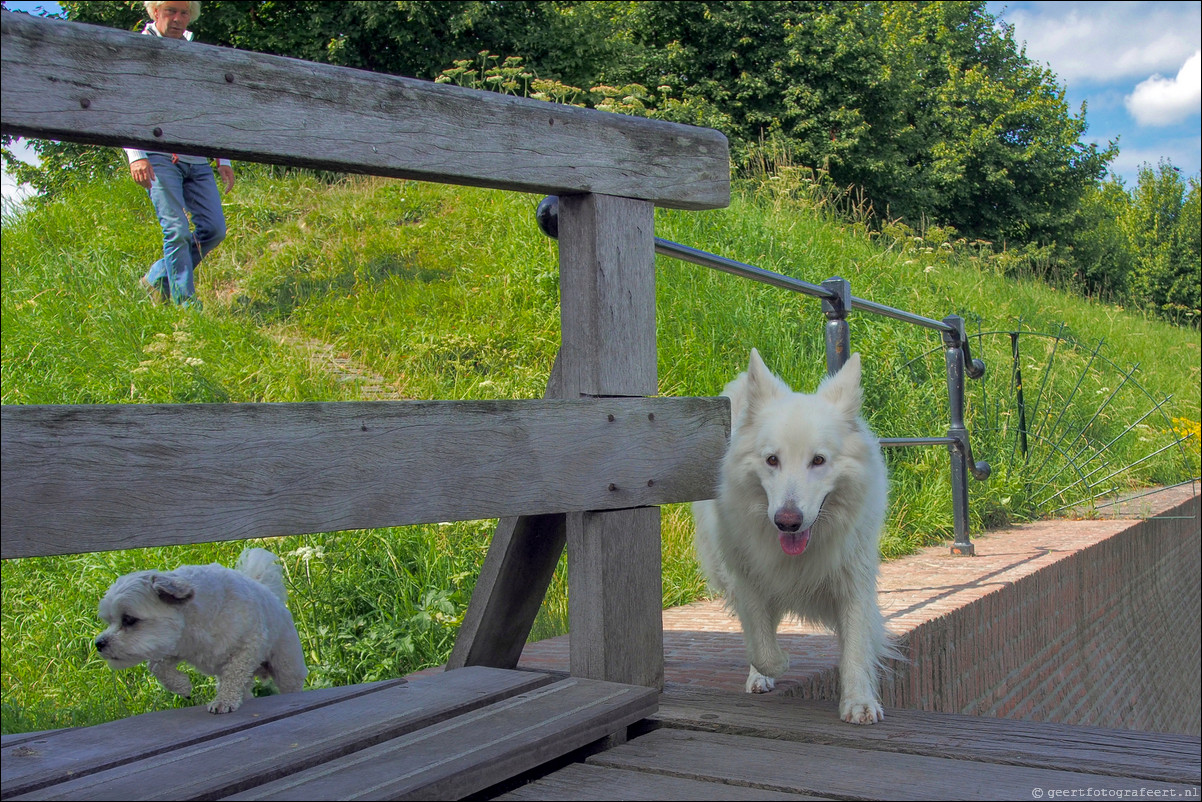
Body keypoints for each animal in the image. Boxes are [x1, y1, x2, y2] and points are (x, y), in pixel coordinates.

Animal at [95, 545, 307, 716]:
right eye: (109, 620)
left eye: (129, 619)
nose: (99, 643)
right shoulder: (175, 646)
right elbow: (156, 667)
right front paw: (182, 686)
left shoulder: (249, 644)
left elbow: (234, 673)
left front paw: (223, 701)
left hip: (287, 668)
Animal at [692, 348, 899, 726]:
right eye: (772, 460)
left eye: (818, 460)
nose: (787, 522)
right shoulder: (748, 581)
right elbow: (761, 645)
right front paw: (777, 664)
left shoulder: (854, 583)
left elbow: (856, 648)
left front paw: (859, 702)